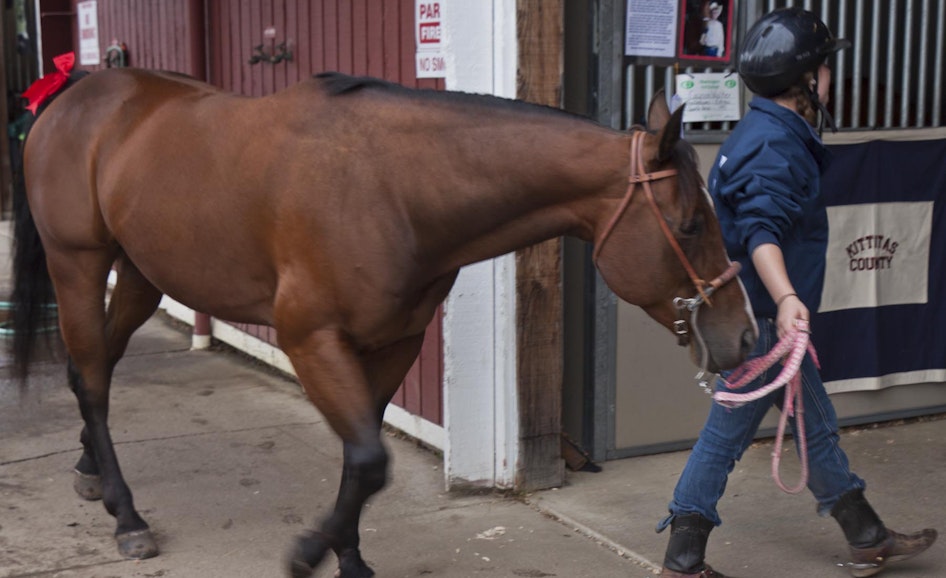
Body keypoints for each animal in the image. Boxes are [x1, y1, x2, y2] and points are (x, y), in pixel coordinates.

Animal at [10, 66, 756, 578]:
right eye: (691, 225)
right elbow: (369, 458)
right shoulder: (310, 341)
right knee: (94, 379)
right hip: (79, 266)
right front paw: (309, 552)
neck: (391, 186)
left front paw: (347, 557)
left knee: (93, 368)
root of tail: (75, 92)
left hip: (141, 274)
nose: (746, 335)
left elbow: (360, 461)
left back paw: (91, 474)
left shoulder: (395, 341)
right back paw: (128, 516)